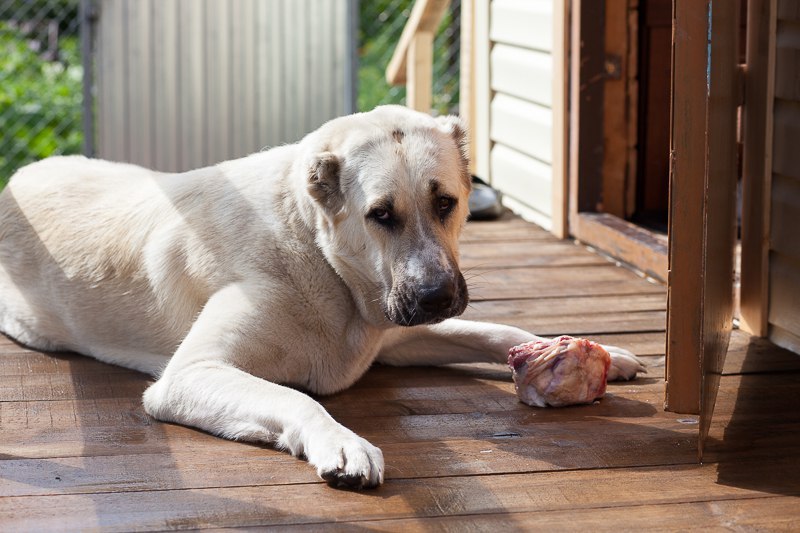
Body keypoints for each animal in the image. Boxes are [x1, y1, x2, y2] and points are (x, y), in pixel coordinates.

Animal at [0, 106, 640, 488]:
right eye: (380, 215)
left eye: (446, 203)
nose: (436, 297)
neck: (317, 252)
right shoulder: (188, 375)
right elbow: (297, 398)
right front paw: (342, 442)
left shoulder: (393, 335)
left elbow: (494, 330)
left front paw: (592, 354)